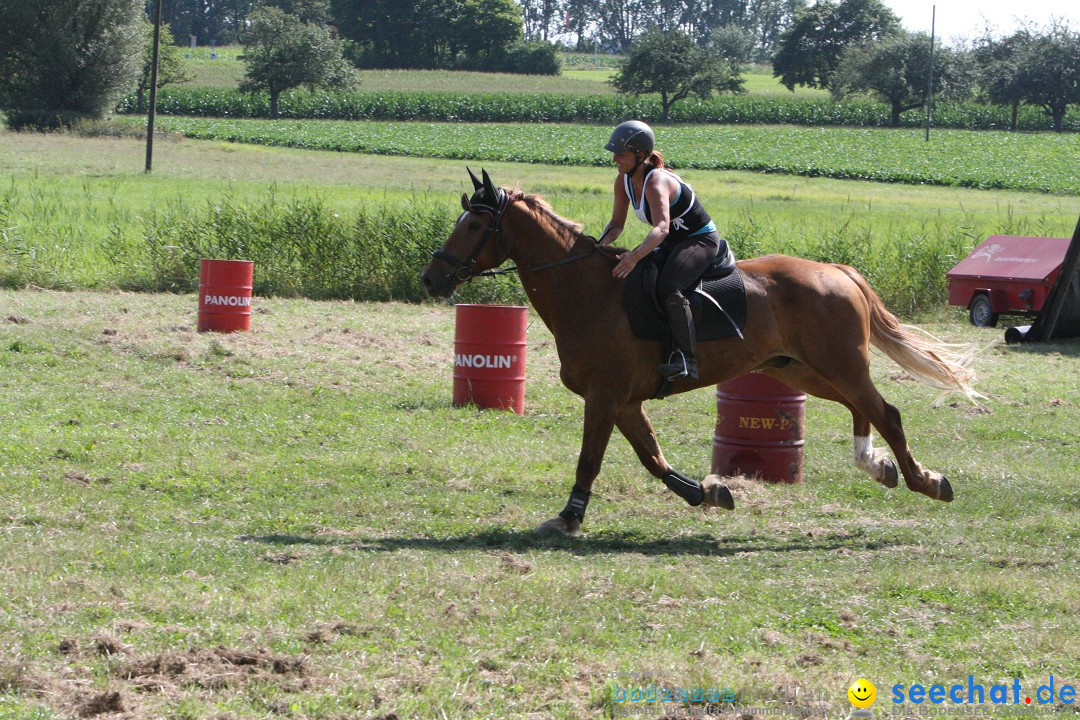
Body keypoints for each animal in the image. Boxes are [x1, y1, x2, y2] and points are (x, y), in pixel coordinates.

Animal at [419, 171, 980, 537]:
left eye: (474, 226)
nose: (431, 278)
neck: (584, 289)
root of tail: (839, 271)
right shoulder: (624, 401)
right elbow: (652, 459)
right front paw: (709, 493)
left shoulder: (604, 395)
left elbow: (590, 460)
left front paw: (568, 517)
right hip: (801, 370)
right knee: (863, 408)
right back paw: (877, 466)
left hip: (836, 365)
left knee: (886, 411)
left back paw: (925, 481)